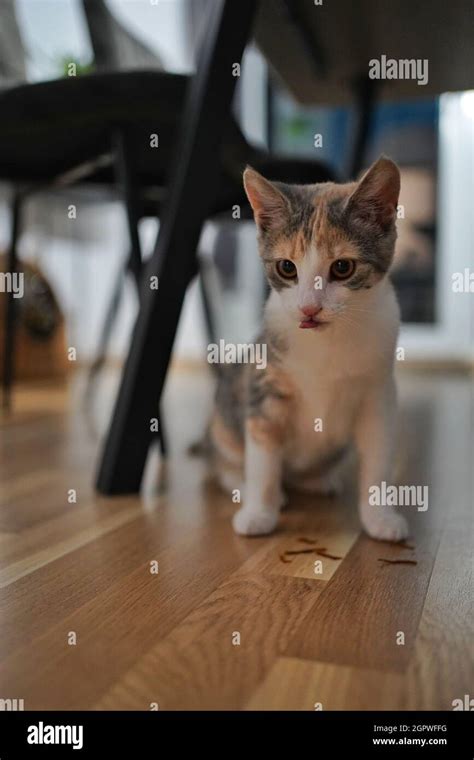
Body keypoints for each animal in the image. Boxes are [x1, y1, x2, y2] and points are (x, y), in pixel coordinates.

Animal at [210, 157, 408, 544]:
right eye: (287, 267)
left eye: (342, 267)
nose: (309, 309)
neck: (326, 344)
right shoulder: (263, 385)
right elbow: (262, 458)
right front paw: (259, 512)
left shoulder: (379, 395)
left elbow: (378, 459)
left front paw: (380, 517)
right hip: (224, 414)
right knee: (228, 459)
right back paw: (245, 483)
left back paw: (316, 480)